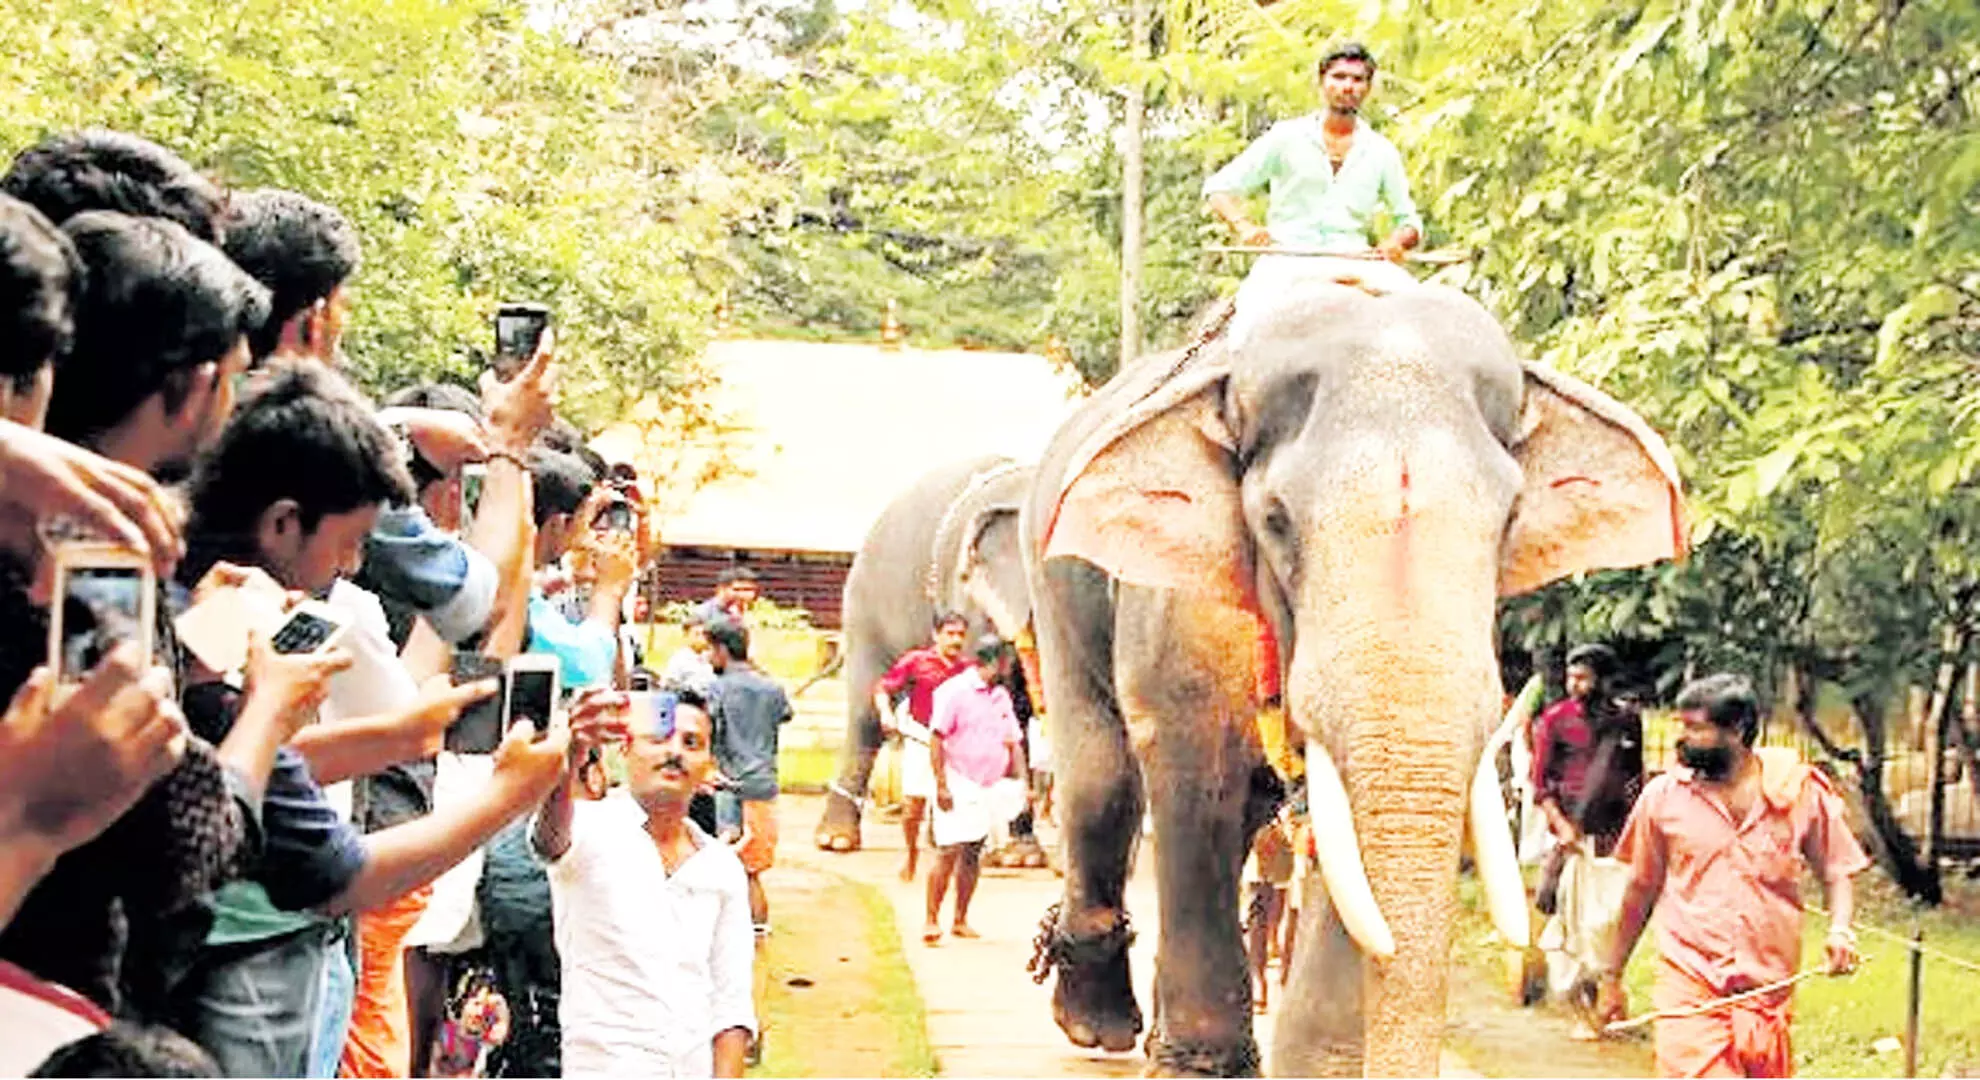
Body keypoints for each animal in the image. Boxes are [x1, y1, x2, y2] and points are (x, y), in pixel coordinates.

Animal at [1021, 281, 1686, 1070]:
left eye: (1511, 518)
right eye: (1275, 519)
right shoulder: (1181, 620)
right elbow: (1192, 769)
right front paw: (1199, 1064)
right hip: (1052, 570)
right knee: (1101, 781)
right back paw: (1099, 1026)